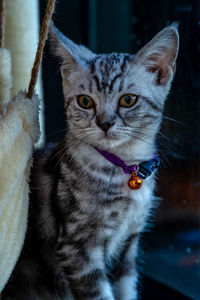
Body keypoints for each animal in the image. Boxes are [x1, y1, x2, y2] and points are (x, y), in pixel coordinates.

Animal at [2, 22, 179, 300]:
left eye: (128, 99)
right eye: (85, 101)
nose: (104, 123)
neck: (121, 167)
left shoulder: (129, 243)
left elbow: (126, 288)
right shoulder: (77, 245)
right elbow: (99, 293)